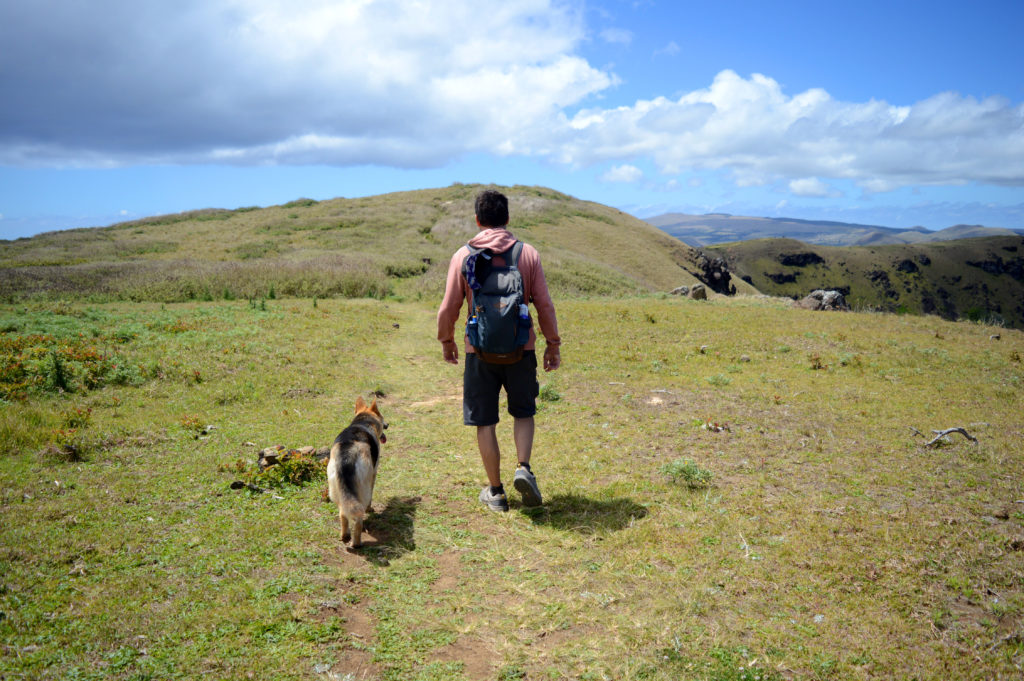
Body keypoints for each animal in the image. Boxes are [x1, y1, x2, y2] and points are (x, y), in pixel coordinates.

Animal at [327, 399, 387, 548]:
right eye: (382, 416)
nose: (387, 425)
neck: (363, 422)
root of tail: (347, 453)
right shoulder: (374, 473)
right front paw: (370, 509)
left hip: (336, 491)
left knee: (343, 513)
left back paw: (345, 536)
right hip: (362, 490)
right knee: (358, 519)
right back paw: (357, 543)